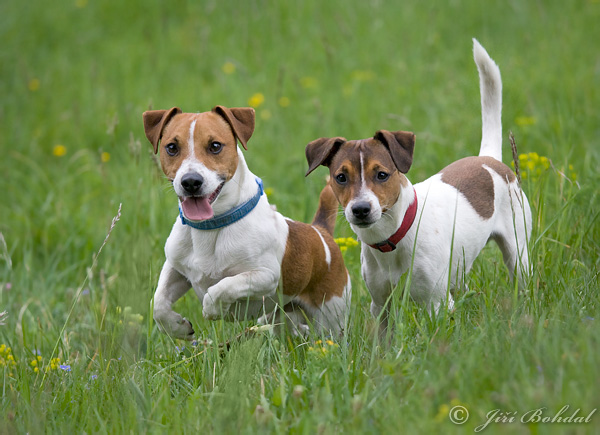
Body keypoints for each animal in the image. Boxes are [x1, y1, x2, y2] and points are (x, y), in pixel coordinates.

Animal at [142, 105, 352, 340]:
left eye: (215, 146)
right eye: (171, 147)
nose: (191, 182)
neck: (211, 226)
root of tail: (320, 231)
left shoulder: (265, 276)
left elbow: (221, 288)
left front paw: (212, 309)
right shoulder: (176, 268)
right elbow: (158, 303)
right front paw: (177, 327)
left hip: (330, 318)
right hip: (280, 318)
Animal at [304, 41, 528, 326]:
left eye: (382, 174)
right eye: (341, 177)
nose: (361, 209)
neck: (394, 236)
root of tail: (487, 158)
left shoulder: (437, 304)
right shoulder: (381, 306)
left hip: (518, 253)